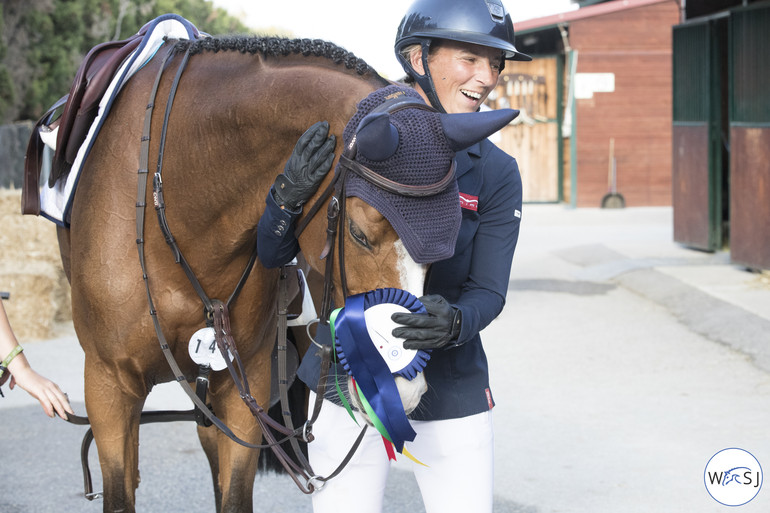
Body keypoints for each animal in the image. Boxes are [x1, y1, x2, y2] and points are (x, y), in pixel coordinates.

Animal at [54, 36, 414, 512]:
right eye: (357, 232)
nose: (404, 387)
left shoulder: (244, 390)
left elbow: (234, 494)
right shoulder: (107, 386)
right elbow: (118, 492)